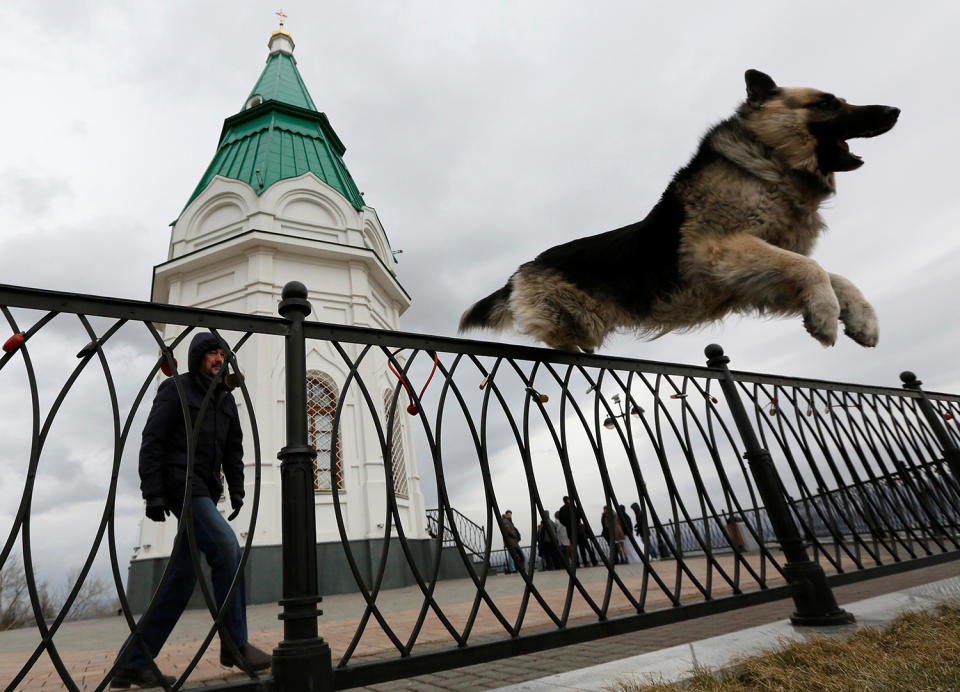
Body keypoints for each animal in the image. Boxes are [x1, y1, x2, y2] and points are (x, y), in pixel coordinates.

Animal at [458, 71, 900, 352]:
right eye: (827, 103)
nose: (894, 111)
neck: (768, 162)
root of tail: (519, 271)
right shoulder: (721, 251)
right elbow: (813, 268)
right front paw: (825, 316)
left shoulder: (756, 278)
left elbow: (834, 276)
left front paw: (861, 320)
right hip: (575, 324)